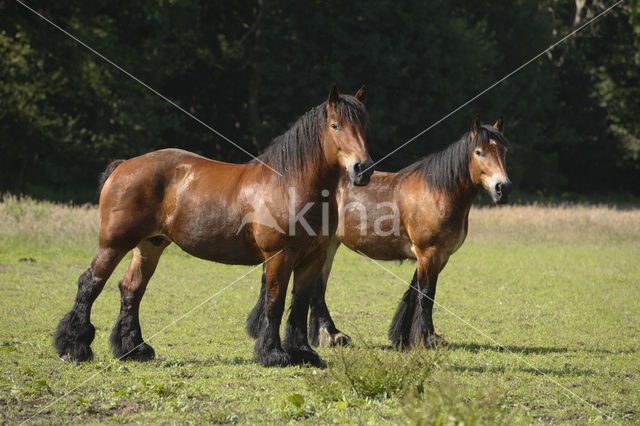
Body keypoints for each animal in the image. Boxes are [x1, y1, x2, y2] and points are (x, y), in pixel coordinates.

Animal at [56, 85, 376, 366]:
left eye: (364, 125)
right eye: (335, 126)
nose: (363, 169)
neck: (289, 184)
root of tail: (123, 166)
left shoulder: (312, 258)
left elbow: (299, 305)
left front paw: (302, 353)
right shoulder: (279, 257)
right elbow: (275, 301)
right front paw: (272, 354)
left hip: (150, 246)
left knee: (131, 289)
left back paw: (133, 349)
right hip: (114, 243)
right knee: (90, 283)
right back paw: (73, 347)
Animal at [248, 114, 512, 350]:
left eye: (504, 151)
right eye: (479, 152)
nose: (503, 187)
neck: (437, 192)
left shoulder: (437, 256)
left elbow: (416, 293)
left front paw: (405, 338)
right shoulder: (428, 252)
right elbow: (426, 295)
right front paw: (427, 339)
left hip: (328, 244)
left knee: (317, 288)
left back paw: (330, 335)